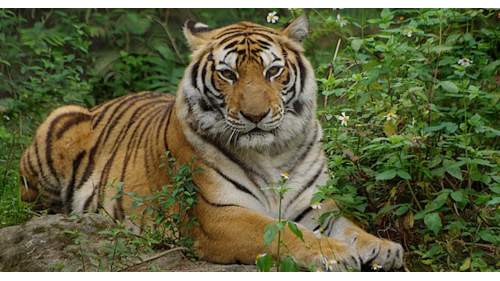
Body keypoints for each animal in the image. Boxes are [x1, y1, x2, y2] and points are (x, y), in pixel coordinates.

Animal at [19, 14, 404, 270]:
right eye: (228, 74)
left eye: (273, 71)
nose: (255, 115)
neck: (273, 151)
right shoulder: (218, 215)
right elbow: (283, 232)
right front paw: (335, 253)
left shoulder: (316, 206)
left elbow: (350, 227)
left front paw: (384, 247)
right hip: (61, 121)